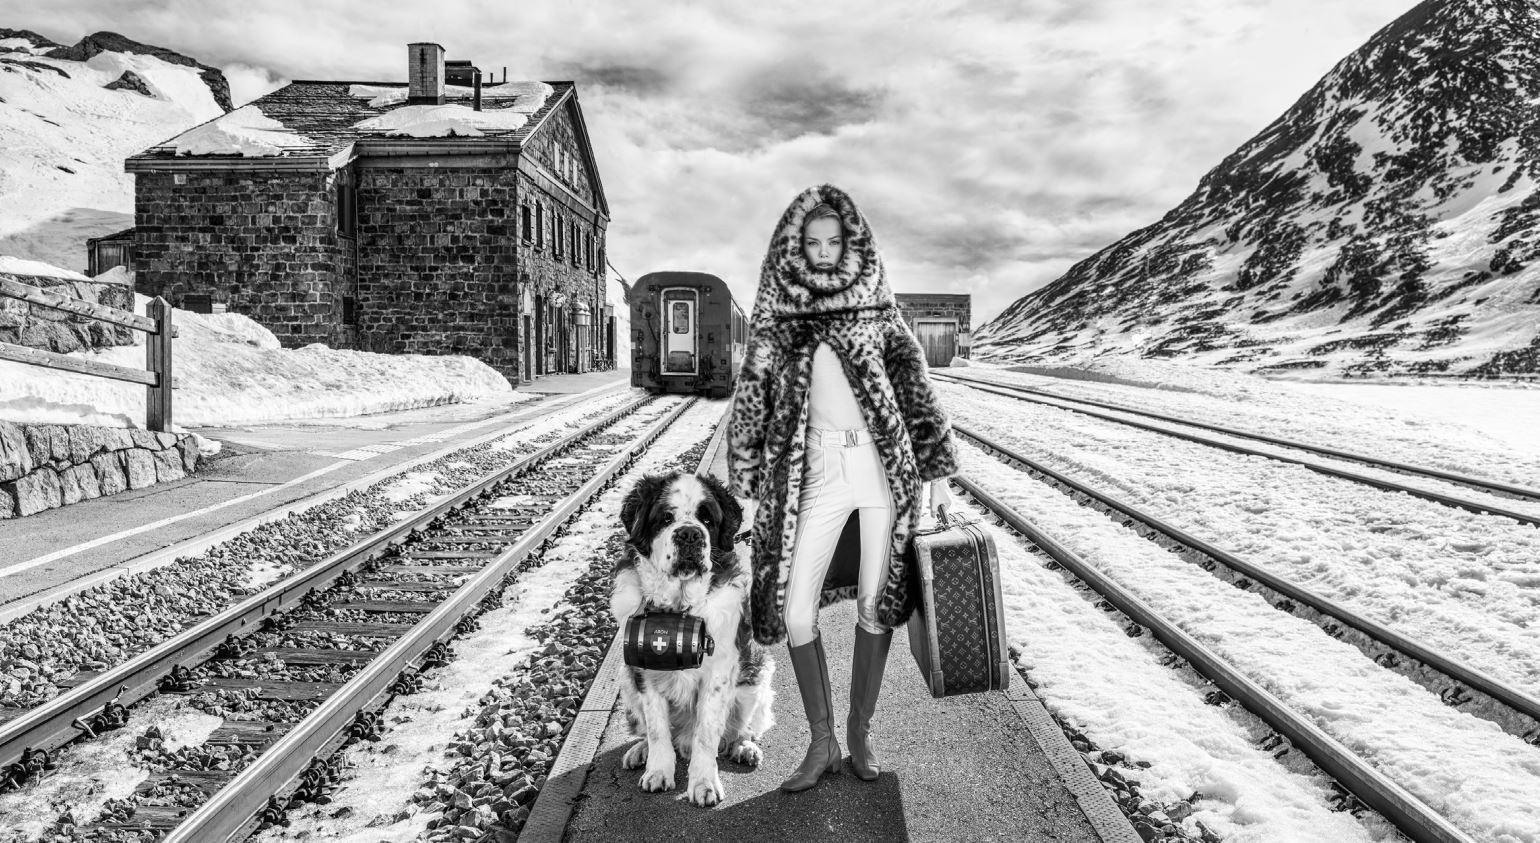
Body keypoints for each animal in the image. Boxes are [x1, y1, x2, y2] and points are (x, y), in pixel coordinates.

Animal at [612, 471, 776, 807]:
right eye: (665, 517)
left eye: (707, 518)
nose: (689, 534)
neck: (678, 608)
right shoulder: (644, 669)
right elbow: (657, 729)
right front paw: (658, 771)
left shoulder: (719, 673)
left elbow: (707, 734)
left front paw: (703, 783)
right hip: (626, 677)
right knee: (652, 731)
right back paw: (640, 751)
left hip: (756, 675)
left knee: (738, 730)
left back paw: (743, 747)